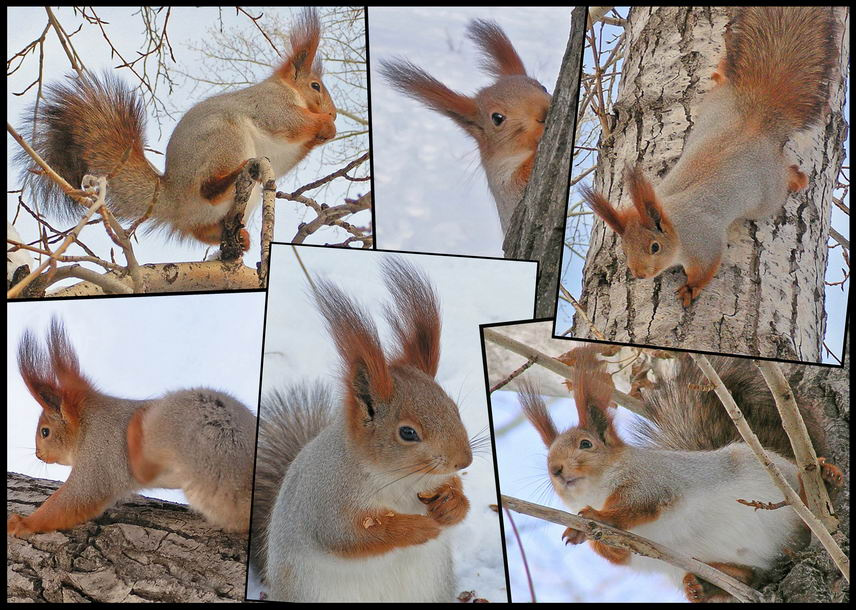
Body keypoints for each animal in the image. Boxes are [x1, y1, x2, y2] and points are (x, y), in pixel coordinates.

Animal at [8, 318, 257, 538]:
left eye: (45, 432)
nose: (39, 455)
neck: (88, 424)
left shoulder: (100, 452)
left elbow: (76, 497)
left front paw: (23, 523)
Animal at [15, 7, 336, 251]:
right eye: (315, 86)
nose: (332, 112)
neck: (288, 90)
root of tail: (175, 198)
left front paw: (328, 130)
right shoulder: (270, 104)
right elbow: (289, 121)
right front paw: (326, 124)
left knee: (200, 230)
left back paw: (239, 237)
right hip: (226, 138)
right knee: (208, 189)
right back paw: (225, 182)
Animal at [250, 256, 474, 602]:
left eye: (454, 409)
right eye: (408, 433)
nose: (463, 461)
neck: (398, 480)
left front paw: (451, 505)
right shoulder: (327, 498)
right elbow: (350, 536)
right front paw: (417, 528)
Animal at [517, 346, 844, 602]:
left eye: (586, 444)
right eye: (548, 456)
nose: (555, 469)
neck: (598, 490)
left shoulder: (654, 481)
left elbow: (635, 507)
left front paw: (597, 517)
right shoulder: (634, 551)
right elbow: (619, 555)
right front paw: (582, 534)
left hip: (779, 482)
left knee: (802, 499)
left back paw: (823, 477)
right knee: (749, 576)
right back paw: (702, 585)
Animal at [580, 7, 839, 306]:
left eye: (654, 247)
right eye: (624, 248)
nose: (640, 274)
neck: (675, 223)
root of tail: (755, 121)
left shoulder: (705, 242)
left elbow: (706, 269)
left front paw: (690, 289)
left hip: (769, 193)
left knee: (782, 180)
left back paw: (796, 178)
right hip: (717, 103)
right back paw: (720, 73)